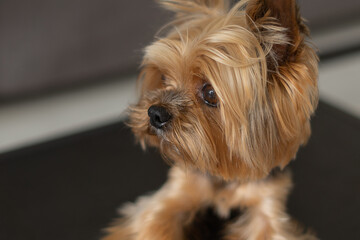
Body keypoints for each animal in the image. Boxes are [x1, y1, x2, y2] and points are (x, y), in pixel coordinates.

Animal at [102, 0, 318, 238]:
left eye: (210, 93)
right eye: (164, 78)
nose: (155, 113)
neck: (225, 174)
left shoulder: (268, 203)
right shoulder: (172, 195)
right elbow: (152, 223)